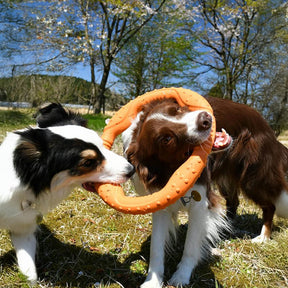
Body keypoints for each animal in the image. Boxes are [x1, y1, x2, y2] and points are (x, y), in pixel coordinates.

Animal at [121, 97, 288, 288]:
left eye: (177, 109)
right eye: (166, 138)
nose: (205, 119)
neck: (171, 170)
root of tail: (264, 122)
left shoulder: (200, 203)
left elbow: (190, 245)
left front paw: (181, 276)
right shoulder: (160, 203)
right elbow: (156, 247)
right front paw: (152, 281)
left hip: (253, 177)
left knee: (270, 205)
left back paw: (263, 236)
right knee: (234, 202)